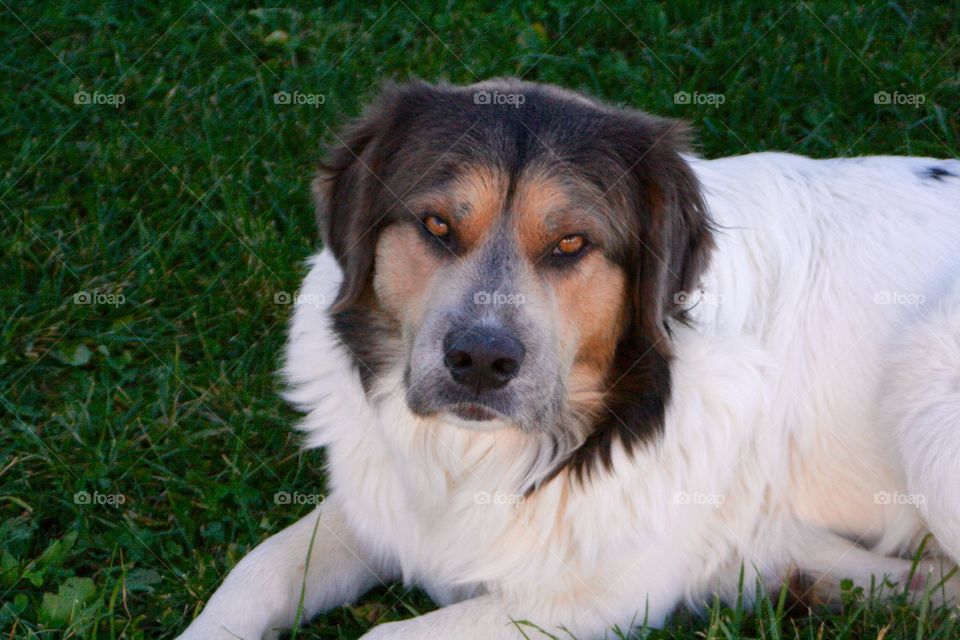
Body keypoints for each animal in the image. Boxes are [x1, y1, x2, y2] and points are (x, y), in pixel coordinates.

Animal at [178, 80, 960, 640]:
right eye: (436, 224)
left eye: (572, 243)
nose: (479, 360)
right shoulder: (382, 501)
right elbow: (257, 572)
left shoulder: (595, 596)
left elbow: (385, 635)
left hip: (925, 381)